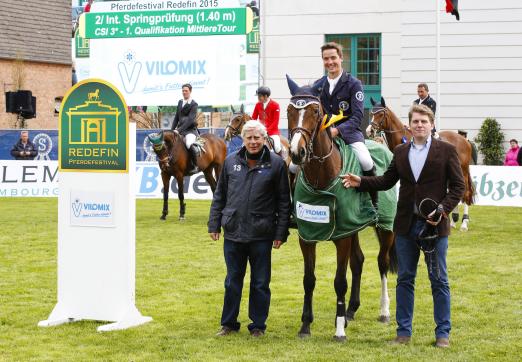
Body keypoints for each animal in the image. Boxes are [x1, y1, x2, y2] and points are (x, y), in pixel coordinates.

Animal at [284, 75, 394, 340]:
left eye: (315, 111)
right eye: (289, 110)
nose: (297, 152)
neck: (321, 177)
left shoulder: (342, 238)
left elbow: (339, 281)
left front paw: (339, 329)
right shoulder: (308, 236)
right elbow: (309, 279)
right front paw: (305, 325)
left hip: (386, 228)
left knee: (382, 262)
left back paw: (383, 311)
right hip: (353, 227)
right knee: (359, 261)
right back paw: (351, 310)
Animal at [368, 97, 474, 232]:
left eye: (381, 114)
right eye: (371, 113)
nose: (369, 131)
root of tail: (464, 140)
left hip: (463, 171)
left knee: (465, 193)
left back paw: (464, 223)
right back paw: (453, 221)